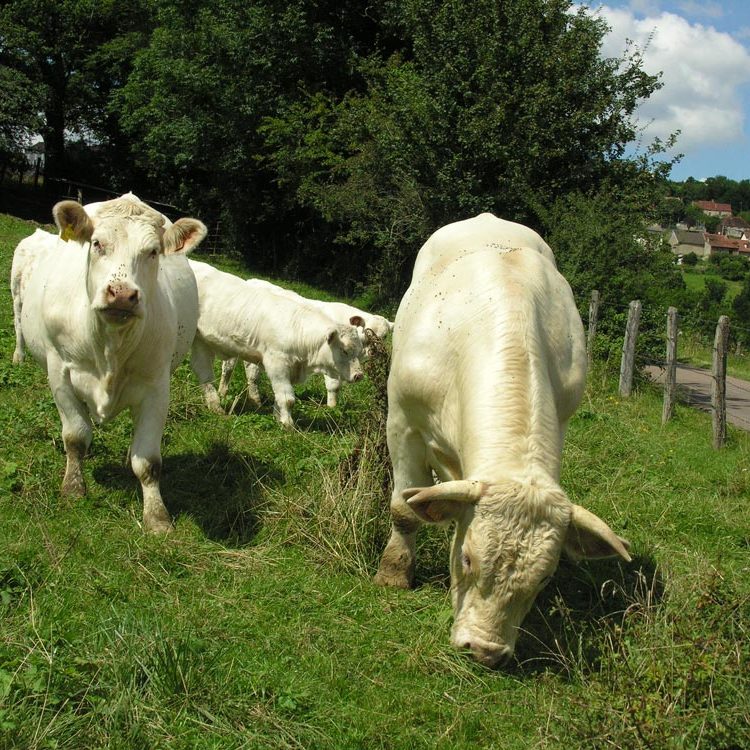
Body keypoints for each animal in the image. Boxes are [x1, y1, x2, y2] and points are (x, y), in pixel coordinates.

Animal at [13, 194, 207, 533]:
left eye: (153, 251)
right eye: (97, 243)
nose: (122, 294)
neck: (110, 347)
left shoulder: (157, 387)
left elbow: (148, 461)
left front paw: (157, 516)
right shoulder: (60, 374)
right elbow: (76, 437)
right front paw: (73, 488)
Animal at [188, 260, 365, 428]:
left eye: (359, 351)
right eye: (344, 350)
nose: (359, 375)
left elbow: (280, 396)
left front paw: (278, 417)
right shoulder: (277, 364)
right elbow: (288, 398)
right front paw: (288, 424)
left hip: (200, 340)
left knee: (203, 371)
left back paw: (215, 406)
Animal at [218, 278, 393, 408]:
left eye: (384, 336)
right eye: (366, 331)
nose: (374, 351)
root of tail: (251, 281)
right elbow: (333, 386)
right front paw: (332, 408)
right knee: (244, 370)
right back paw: (251, 399)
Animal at [374, 213, 631, 666]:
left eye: (544, 578)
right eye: (467, 558)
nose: (485, 649)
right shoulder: (403, 421)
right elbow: (404, 508)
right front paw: (394, 572)